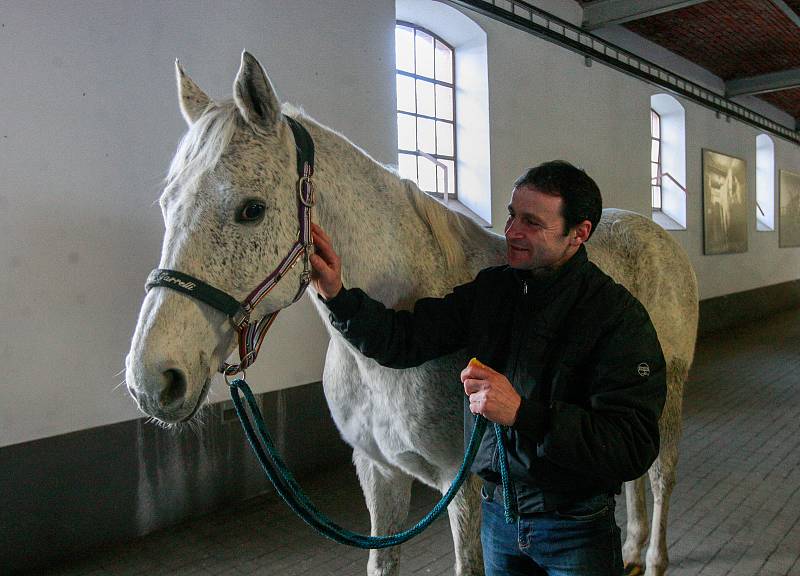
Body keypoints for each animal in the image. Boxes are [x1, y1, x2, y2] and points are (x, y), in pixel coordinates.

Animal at [123, 51, 692, 572]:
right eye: (167, 205)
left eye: (251, 209)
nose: (153, 379)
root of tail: (653, 231)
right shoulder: (378, 472)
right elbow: (382, 559)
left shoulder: (462, 486)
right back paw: (631, 551)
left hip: (668, 399)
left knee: (661, 473)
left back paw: (654, 557)